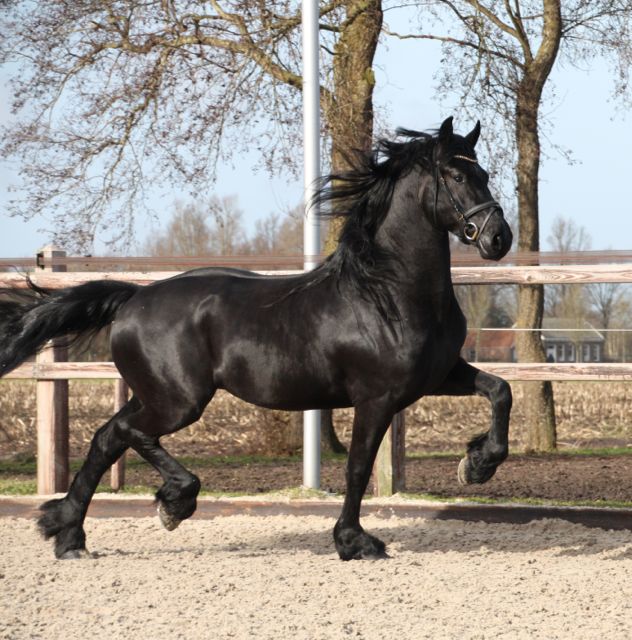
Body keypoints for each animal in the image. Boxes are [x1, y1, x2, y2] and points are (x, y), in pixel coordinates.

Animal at [0, 117, 513, 560]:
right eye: (455, 174)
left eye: (484, 173)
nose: (498, 239)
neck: (387, 291)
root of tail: (134, 297)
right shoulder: (377, 397)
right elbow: (358, 467)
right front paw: (355, 542)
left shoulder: (436, 376)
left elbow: (500, 391)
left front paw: (477, 464)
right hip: (179, 401)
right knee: (128, 433)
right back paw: (173, 502)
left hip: (156, 394)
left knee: (108, 437)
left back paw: (68, 534)